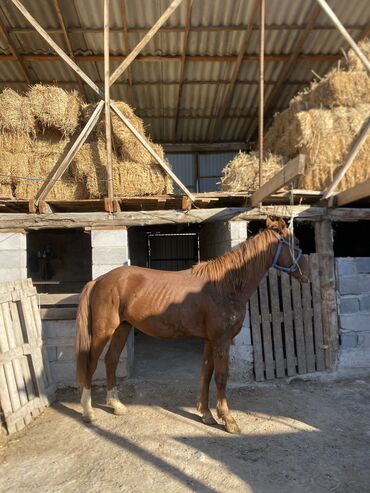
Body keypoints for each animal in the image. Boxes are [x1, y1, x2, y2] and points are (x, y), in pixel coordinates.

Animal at [75, 217, 310, 432]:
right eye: (297, 242)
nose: (306, 275)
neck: (224, 285)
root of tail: (100, 280)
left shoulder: (210, 340)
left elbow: (206, 374)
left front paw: (206, 414)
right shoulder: (221, 340)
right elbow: (221, 377)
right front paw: (228, 419)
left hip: (122, 328)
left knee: (111, 360)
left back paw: (116, 405)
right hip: (103, 331)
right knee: (91, 363)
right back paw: (88, 412)